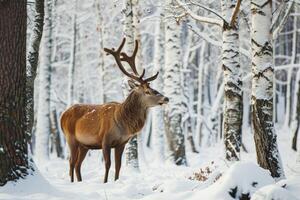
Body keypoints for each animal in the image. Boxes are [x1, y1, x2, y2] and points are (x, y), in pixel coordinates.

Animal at [60, 38, 169, 183]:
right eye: (147, 91)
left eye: (154, 88)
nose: (166, 98)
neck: (122, 123)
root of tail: (62, 116)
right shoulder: (105, 140)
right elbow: (108, 164)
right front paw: (105, 182)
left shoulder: (121, 143)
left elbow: (118, 166)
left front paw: (116, 181)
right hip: (70, 138)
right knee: (71, 162)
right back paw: (72, 182)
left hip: (84, 145)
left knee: (78, 164)